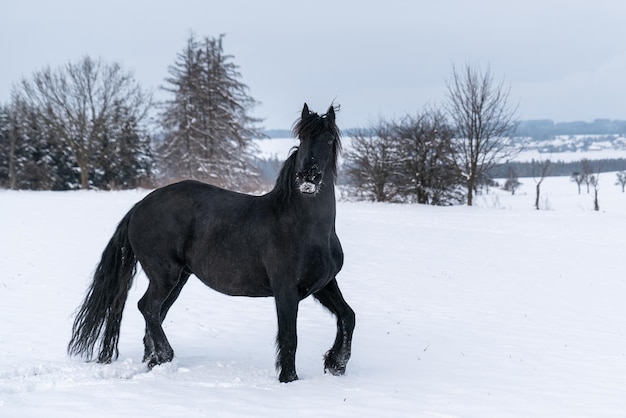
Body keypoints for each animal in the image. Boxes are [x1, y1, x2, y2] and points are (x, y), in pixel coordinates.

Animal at [69, 103, 356, 382]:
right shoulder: (285, 290)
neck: (306, 228)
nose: (308, 177)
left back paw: (154, 362)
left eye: (329, 139)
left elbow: (348, 316)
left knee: (155, 314)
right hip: (165, 275)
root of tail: (140, 205)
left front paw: (335, 364)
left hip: (178, 279)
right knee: (147, 307)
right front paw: (289, 379)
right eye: (302, 137)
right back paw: (165, 356)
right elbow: (289, 338)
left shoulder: (324, 284)